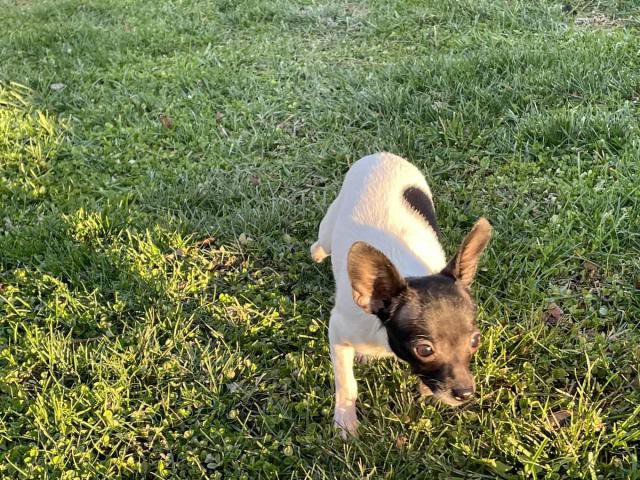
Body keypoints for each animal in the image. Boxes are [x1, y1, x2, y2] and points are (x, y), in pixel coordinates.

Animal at [310, 152, 490, 436]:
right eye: (425, 350)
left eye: (475, 341)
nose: (465, 393)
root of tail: (381, 155)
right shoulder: (338, 332)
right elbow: (347, 384)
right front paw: (346, 422)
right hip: (329, 227)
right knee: (322, 241)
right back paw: (316, 252)